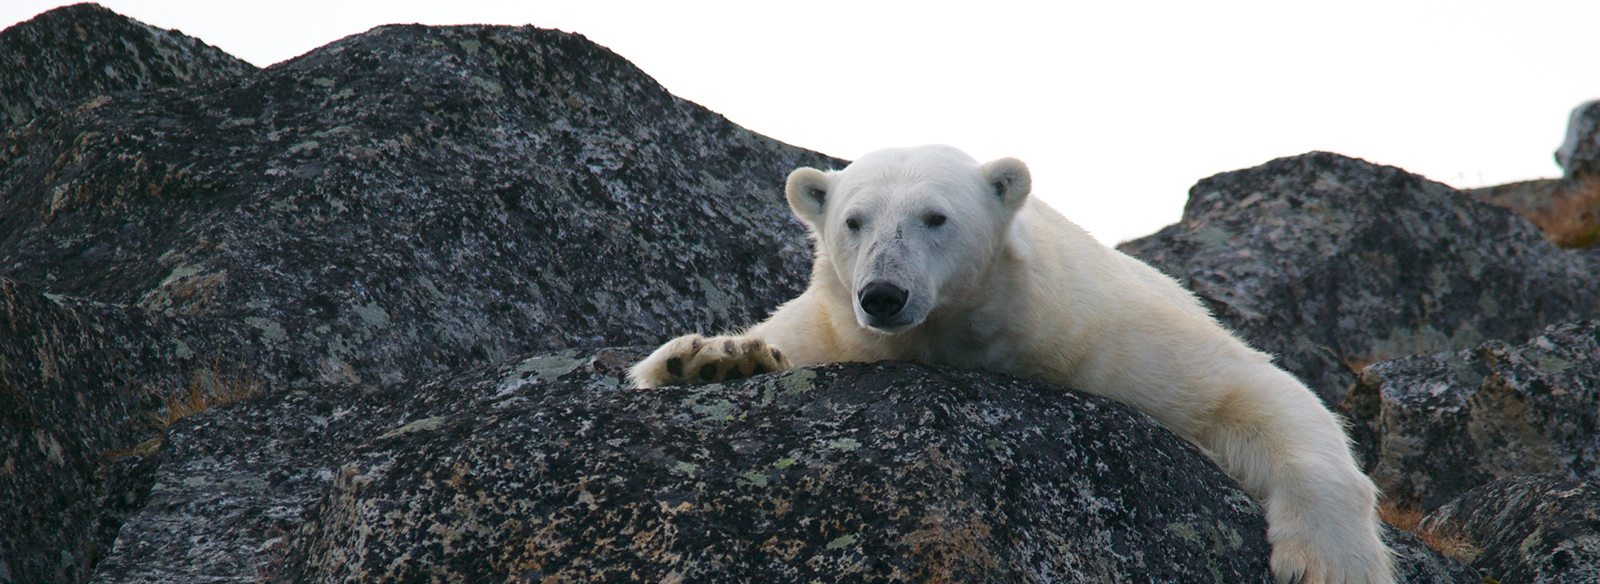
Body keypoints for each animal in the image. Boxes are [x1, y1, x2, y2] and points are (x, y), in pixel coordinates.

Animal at [630, 145, 1395, 582]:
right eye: (854, 220)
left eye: (935, 217)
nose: (883, 294)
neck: (961, 334)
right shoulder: (832, 327)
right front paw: (712, 359)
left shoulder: (1102, 333)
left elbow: (1251, 390)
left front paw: (1330, 566)